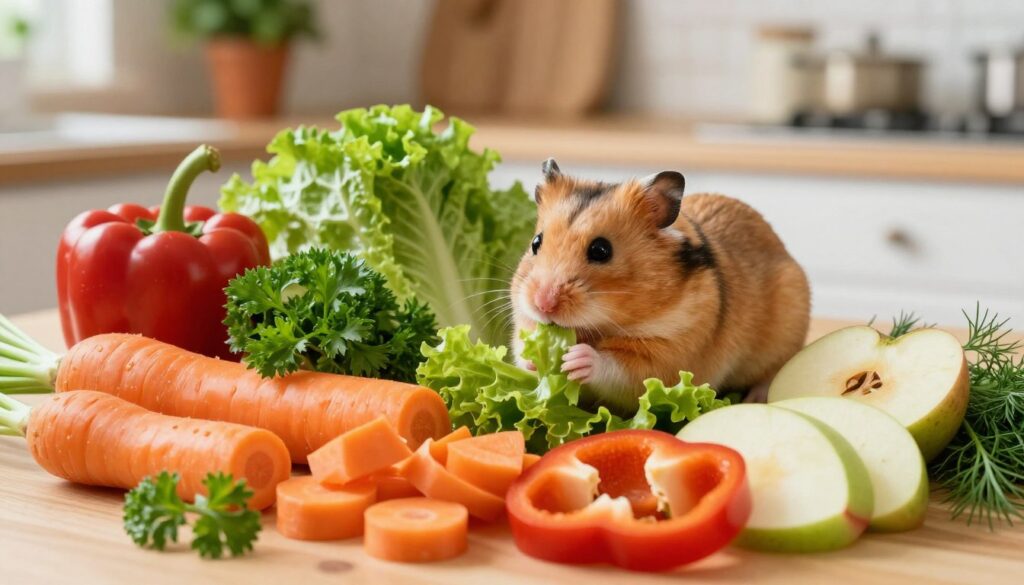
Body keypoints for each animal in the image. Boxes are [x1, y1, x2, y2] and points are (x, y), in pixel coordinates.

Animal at [510, 159, 811, 413]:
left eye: (601, 250)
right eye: (536, 242)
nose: (543, 304)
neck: (601, 325)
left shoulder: (668, 355)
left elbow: (619, 368)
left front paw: (576, 359)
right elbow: (518, 349)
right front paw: (533, 357)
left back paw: (756, 397)